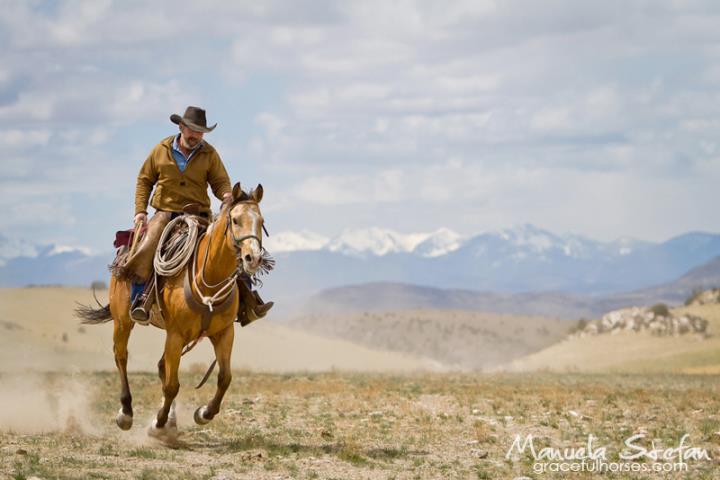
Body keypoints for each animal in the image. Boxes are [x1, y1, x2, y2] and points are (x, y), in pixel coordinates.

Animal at [76, 183, 268, 438]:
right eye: (235, 220)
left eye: (261, 221)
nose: (253, 258)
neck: (208, 277)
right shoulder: (176, 335)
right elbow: (171, 385)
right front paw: (158, 423)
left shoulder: (224, 333)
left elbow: (224, 378)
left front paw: (203, 413)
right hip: (123, 321)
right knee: (121, 356)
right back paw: (126, 413)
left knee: (159, 366)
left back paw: (172, 421)